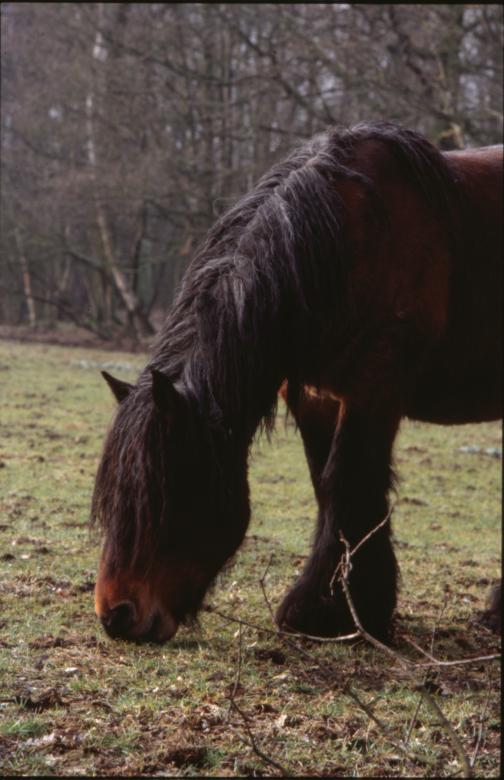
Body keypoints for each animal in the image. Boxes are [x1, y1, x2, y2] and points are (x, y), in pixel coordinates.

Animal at [92, 122, 502, 643]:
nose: (116, 615)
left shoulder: (375, 387)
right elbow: (324, 484)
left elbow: (347, 481)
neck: (347, 241)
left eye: (161, 497)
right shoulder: (315, 396)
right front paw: (346, 608)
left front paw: (324, 610)